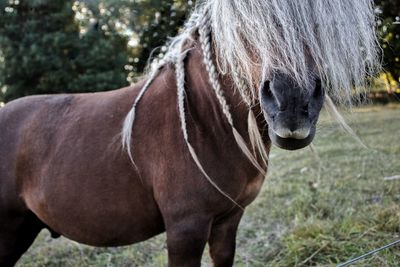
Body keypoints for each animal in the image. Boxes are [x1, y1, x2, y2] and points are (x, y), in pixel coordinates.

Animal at [0, 1, 378, 266]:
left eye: (321, 20)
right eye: (243, 25)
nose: (292, 105)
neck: (202, 123)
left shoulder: (227, 221)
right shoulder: (186, 229)